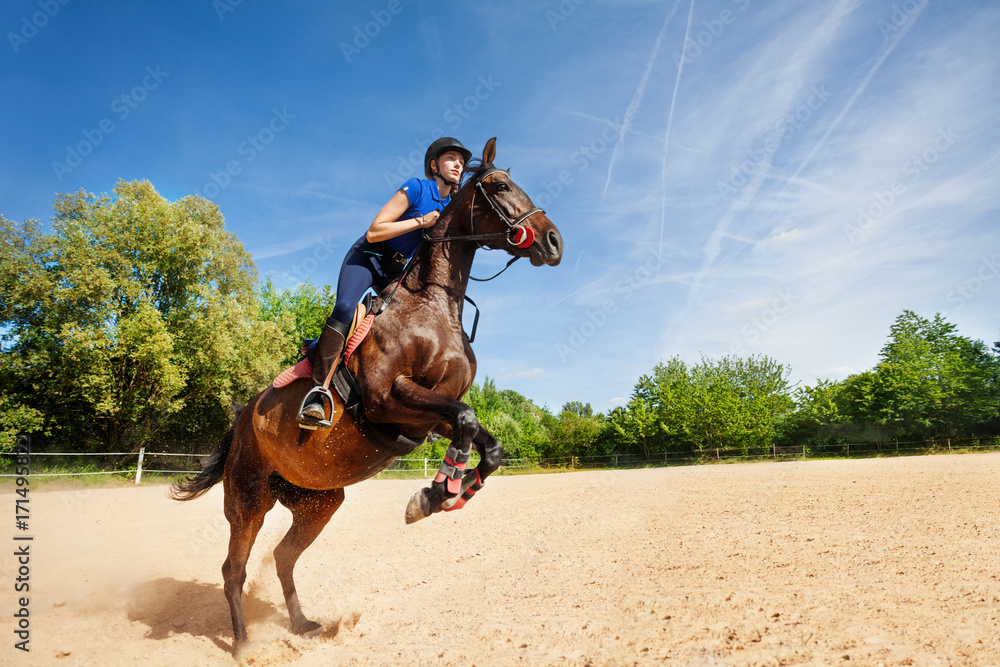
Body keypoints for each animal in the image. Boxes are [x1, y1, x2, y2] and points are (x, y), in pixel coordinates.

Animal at [170, 138, 564, 656]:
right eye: (499, 186)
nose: (555, 242)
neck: (433, 305)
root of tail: (241, 419)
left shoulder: (426, 416)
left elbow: (485, 440)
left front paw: (444, 494)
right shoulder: (386, 399)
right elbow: (466, 418)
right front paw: (435, 493)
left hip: (318, 501)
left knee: (283, 556)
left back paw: (302, 624)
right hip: (248, 496)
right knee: (234, 569)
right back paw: (243, 646)